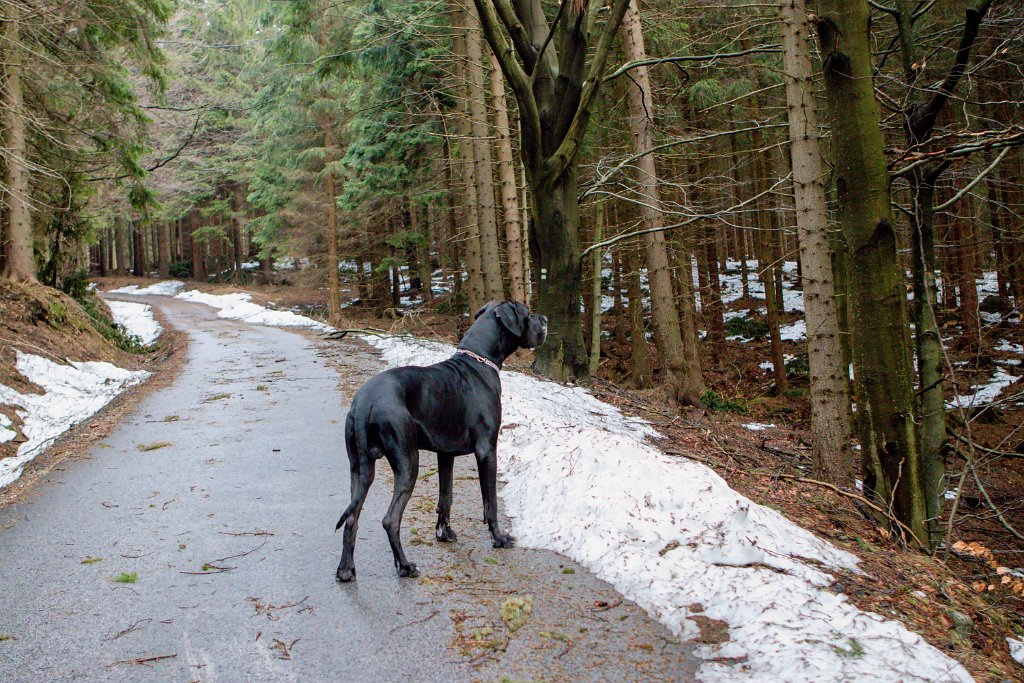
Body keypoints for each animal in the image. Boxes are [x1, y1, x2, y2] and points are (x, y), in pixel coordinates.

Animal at [333, 301, 544, 581]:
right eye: (527, 314)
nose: (545, 319)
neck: (479, 361)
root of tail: (364, 402)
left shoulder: (446, 454)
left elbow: (446, 497)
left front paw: (444, 533)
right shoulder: (487, 449)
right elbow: (490, 502)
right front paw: (498, 539)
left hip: (359, 468)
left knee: (351, 518)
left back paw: (346, 570)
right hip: (407, 461)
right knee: (390, 519)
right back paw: (405, 566)